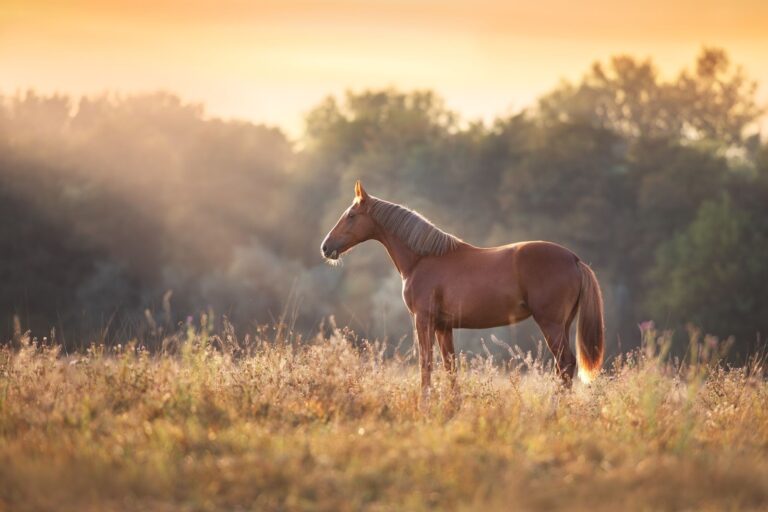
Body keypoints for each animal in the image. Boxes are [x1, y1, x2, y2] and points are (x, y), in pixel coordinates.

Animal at [321, 180, 604, 403]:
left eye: (351, 216)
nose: (326, 247)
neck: (423, 258)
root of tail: (574, 259)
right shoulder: (443, 326)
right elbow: (450, 367)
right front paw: (453, 406)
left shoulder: (423, 320)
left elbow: (426, 364)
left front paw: (425, 405)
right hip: (562, 324)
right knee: (564, 367)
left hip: (551, 324)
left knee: (565, 364)